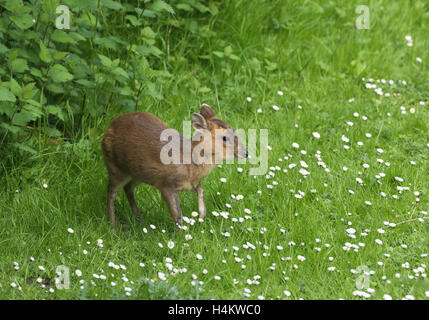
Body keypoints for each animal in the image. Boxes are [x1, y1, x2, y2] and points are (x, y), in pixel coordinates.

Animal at [101, 104, 247, 228]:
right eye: (224, 138)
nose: (246, 153)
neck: (190, 163)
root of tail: (109, 127)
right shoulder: (166, 183)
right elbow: (177, 213)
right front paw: (180, 235)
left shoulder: (193, 183)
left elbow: (201, 193)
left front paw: (200, 217)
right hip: (115, 167)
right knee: (111, 192)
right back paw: (112, 225)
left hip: (137, 173)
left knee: (128, 188)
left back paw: (138, 218)